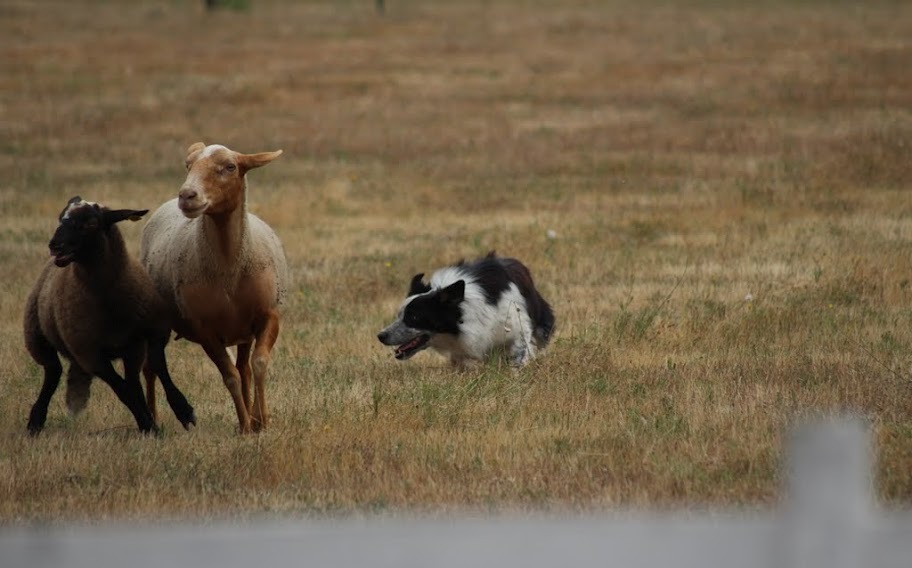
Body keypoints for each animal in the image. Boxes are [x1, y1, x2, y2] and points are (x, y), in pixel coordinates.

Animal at [142, 143, 288, 434]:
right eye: (188, 165)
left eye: (229, 167)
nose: (187, 195)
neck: (229, 270)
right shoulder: (206, 330)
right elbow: (229, 376)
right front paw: (245, 426)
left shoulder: (267, 316)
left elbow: (258, 364)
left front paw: (260, 420)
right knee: (150, 367)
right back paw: (152, 421)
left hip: (242, 330)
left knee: (244, 367)